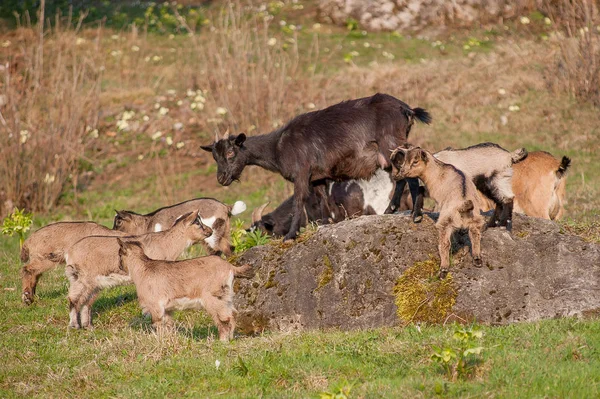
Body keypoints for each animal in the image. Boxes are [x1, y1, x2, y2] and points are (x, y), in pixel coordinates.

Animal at [202, 94, 432, 241]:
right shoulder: (319, 177)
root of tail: (406, 109)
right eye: (214, 156)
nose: (222, 178)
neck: (277, 146)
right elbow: (323, 199)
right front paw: (325, 223)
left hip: (391, 146)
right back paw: (391, 210)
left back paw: (415, 214)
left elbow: (299, 200)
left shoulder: (301, 172)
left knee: (410, 176)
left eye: (231, 153)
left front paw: (290, 235)